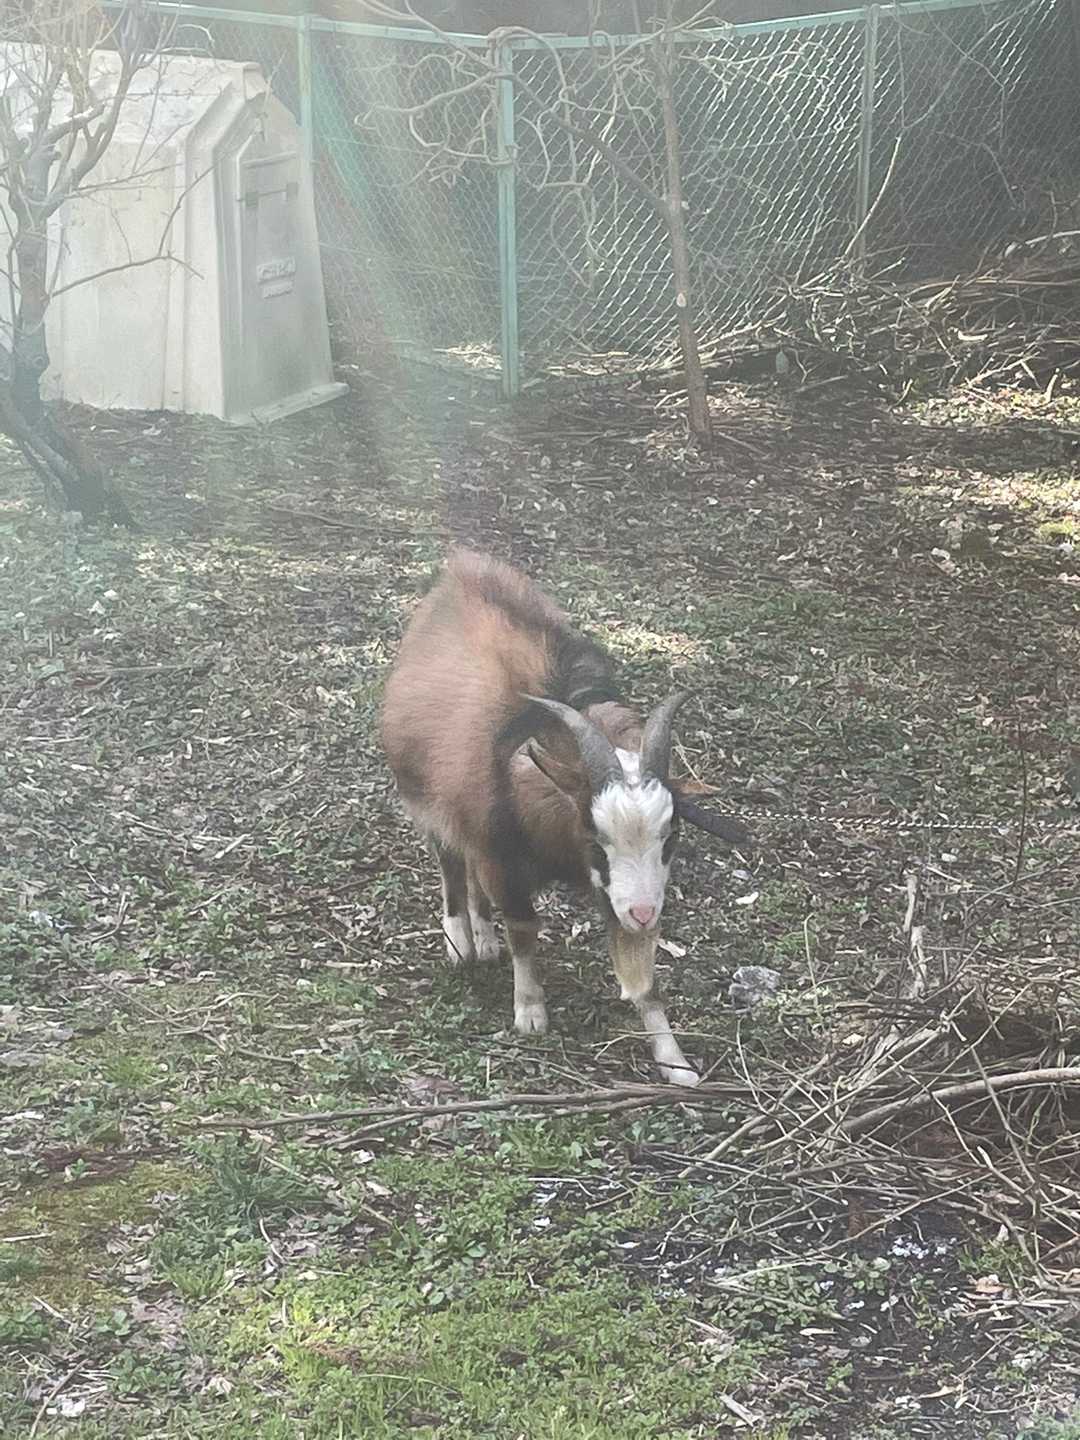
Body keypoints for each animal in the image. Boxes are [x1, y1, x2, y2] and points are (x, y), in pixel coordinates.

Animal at [381, 549, 739, 1086]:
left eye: (670, 837)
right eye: (595, 837)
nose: (645, 914)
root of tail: (460, 571)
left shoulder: (616, 890)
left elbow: (643, 978)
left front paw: (675, 1063)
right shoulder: (505, 859)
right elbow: (524, 929)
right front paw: (530, 1012)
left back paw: (484, 939)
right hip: (426, 801)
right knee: (450, 862)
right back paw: (461, 943)